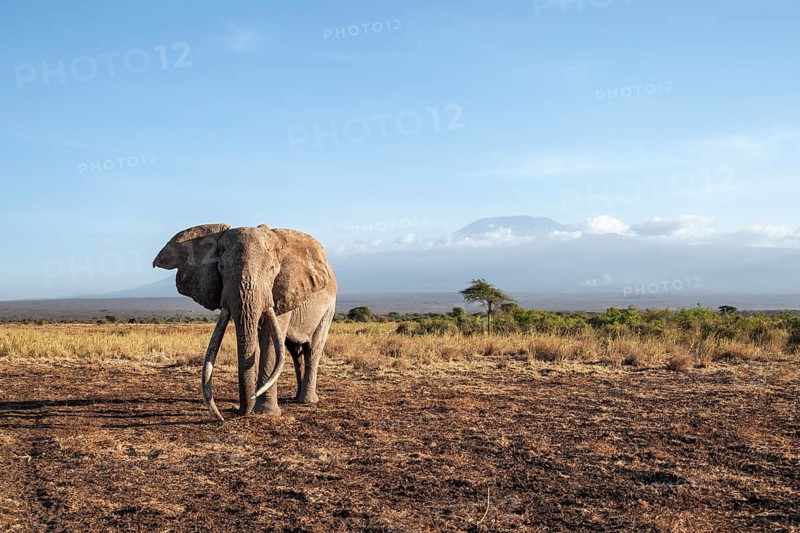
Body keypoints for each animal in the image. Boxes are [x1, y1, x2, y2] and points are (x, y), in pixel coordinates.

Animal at [153, 224, 337, 421]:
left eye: (272, 269)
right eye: (221, 267)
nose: (233, 412)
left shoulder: (283, 291)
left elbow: (269, 341)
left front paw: (265, 411)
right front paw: (254, 405)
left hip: (329, 308)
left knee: (312, 349)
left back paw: (306, 401)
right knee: (295, 352)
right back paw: (297, 397)